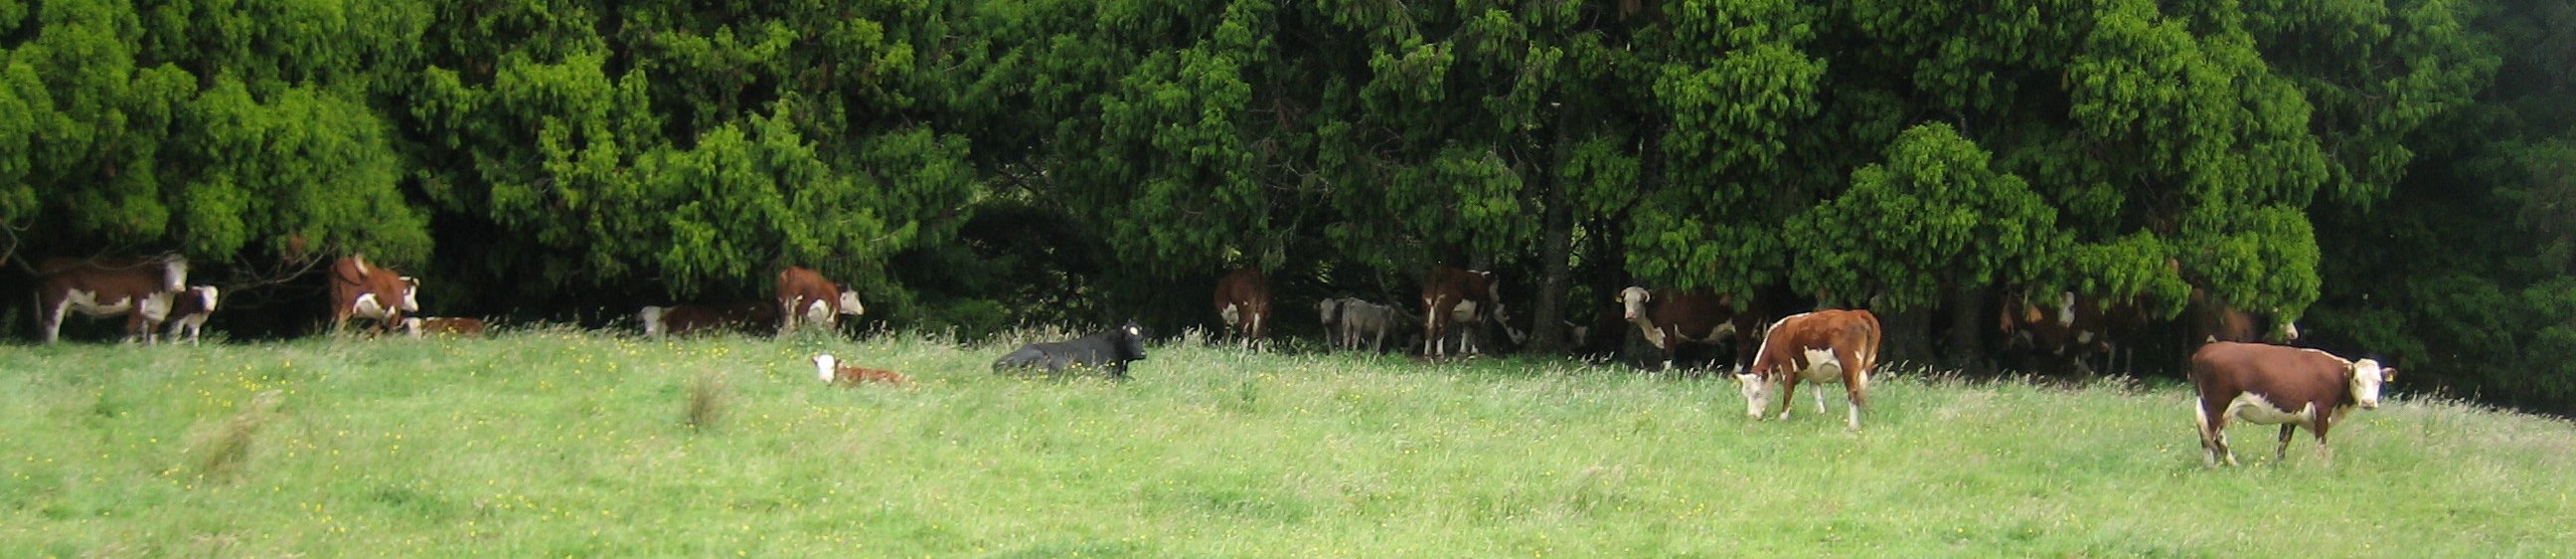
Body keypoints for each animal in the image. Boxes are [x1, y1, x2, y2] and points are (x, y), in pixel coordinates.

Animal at [37, 255, 189, 342]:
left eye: (185, 270)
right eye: (167, 269)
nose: (178, 288)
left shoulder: (153, 312)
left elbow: (150, 334)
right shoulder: (137, 304)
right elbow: (131, 330)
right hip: (54, 303)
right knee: (52, 326)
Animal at [1741, 307, 1885, 430]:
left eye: (1757, 393)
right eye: (1745, 395)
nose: (1751, 417)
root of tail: (1856, 313)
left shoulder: (1787, 367)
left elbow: (1787, 393)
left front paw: (1782, 418)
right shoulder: (1814, 375)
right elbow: (1817, 396)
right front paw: (1822, 416)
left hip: (1849, 366)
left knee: (1853, 394)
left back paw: (1853, 425)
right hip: (1867, 366)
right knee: (1863, 392)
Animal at [2194, 339, 2390, 466]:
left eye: (2378, 381)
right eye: (2357, 380)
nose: (2368, 402)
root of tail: (2205, 351)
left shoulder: (2292, 416)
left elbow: (2283, 441)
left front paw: (2280, 464)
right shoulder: (2322, 410)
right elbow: (2321, 442)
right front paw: (2322, 466)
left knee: (2206, 433)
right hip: (2218, 405)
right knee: (2213, 433)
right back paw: (2223, 463)